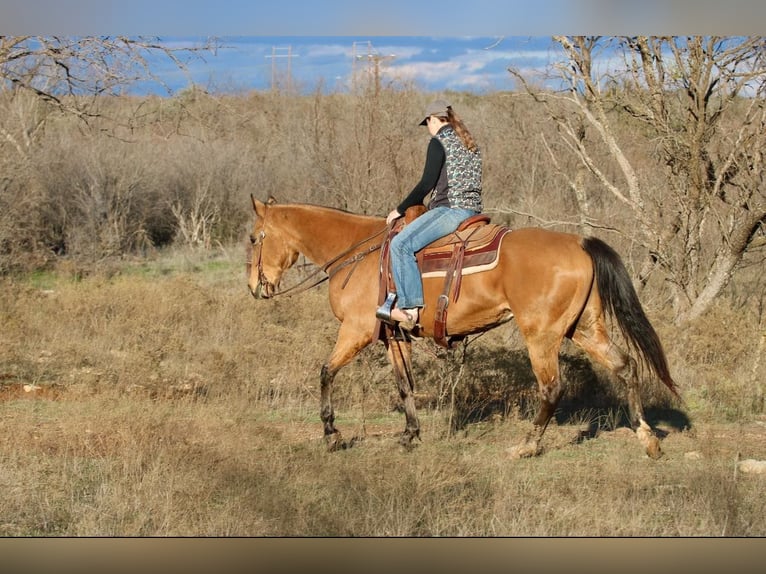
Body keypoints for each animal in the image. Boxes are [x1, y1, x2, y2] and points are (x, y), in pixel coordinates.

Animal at [244, 196, 680, 462]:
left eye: (253, 238)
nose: (254, 287)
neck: (357, 252)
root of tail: (580, 242)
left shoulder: (356, 331)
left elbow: (325, 372)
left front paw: (331, 433)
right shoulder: (393, 338)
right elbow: (405, 385)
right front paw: (410, 434)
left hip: (541, 336)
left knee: (552, 389)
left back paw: (526, 446)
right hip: (586, 329)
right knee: (626, 367)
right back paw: (647, 439)